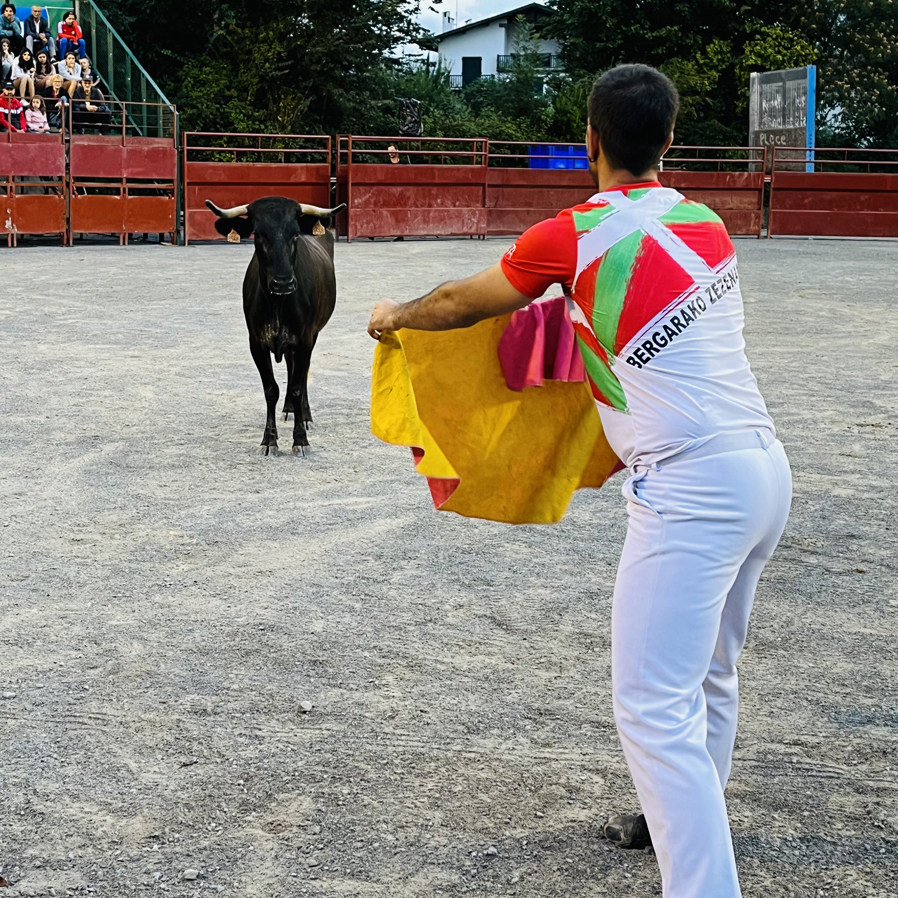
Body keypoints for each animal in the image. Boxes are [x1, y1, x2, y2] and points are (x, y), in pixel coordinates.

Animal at [206, 193, 346, 452]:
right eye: (259, 234)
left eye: (295, 233)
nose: (283, 282)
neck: (278, 304)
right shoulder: (256, 343)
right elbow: (271, 389)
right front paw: (269, 439)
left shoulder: (305, 340)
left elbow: (298, 386)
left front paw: (300, 439)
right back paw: (289, 409)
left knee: (300, 374)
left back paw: (304, 414)